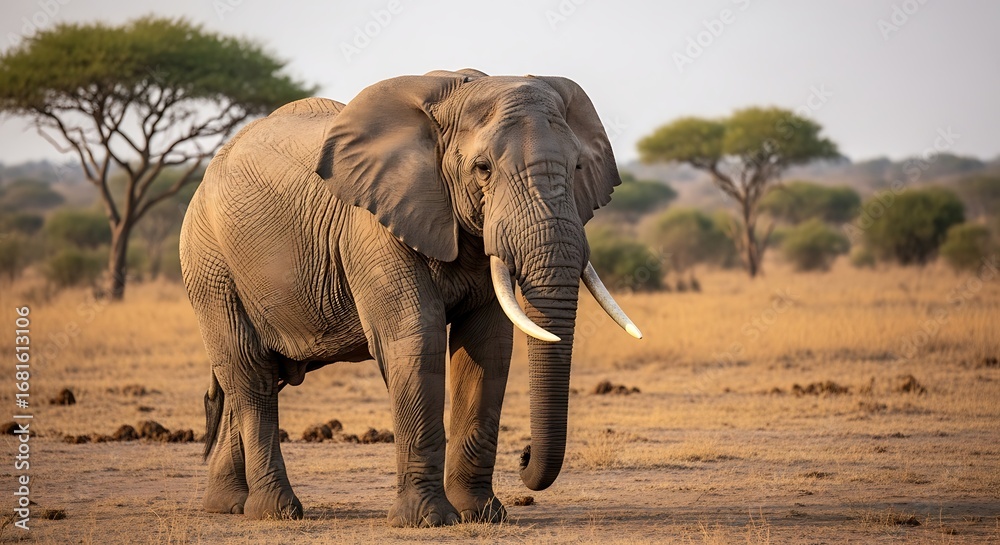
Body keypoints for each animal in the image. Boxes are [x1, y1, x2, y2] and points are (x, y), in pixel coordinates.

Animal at [179, 68, 642, 526]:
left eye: (577, 166)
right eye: (482, 168)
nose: (525, 456)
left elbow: (487, 348)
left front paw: (481, 515)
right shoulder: (371, 225)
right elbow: (417, 339)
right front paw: (429, 521)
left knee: (252, 377)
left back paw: (228, 505)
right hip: (210, 263)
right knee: (249, 372)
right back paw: (275, 511)